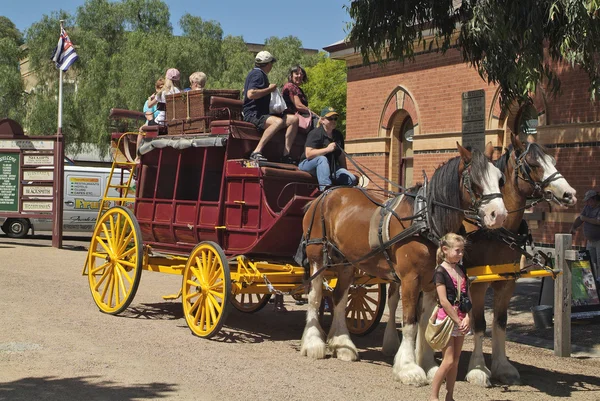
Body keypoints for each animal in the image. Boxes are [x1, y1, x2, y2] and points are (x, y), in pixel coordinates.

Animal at [300, 144, 506, 384]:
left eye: (500, 178)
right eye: (474, 180)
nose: (499, 215)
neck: (424, 220)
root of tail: (324, 195)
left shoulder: (432, 281)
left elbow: (425, 323)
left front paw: (428, 365)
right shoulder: (410, 279)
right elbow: (409, 322)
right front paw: (408, 368)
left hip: (347, 263)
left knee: (339, 299)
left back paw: (342, 344)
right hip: (317, 255)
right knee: (315, 297)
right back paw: (314, 343)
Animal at [460, 135, 576, 388]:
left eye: (553, 160)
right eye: (533, 164)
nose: (569, 194)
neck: (496, 232)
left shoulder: (507, 282)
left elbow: (500, 322)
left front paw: (502, 367)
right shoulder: (477, 283)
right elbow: (479, 323)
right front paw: (478, 369)